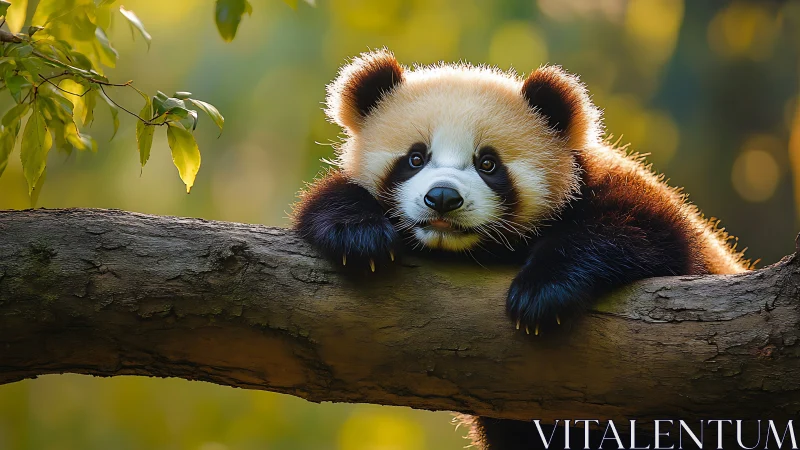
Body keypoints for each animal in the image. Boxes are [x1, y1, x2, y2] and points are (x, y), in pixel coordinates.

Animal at [292, 49, 749, 449]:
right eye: (415, 158)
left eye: (488, 164)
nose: (442, 199)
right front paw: (360, 237)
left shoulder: (623, 196)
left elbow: (643, 231)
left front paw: (540, 296)